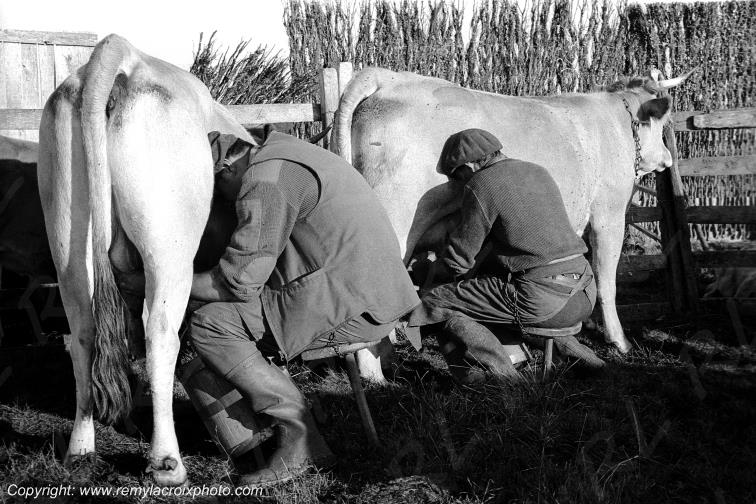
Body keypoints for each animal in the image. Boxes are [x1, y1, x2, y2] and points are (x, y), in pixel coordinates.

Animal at [38, 34, 254, 486]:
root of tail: (120, 56)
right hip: (168, 248)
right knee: (159, 337)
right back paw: (167, 461)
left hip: (67, 239)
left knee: (83, 335)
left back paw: (81, 450)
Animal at [333, 67, 693, 363]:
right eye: (662, 124)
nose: (667, 159)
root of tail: (386, 77)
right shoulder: (609, 211)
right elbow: (606, 280)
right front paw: (619, 342)